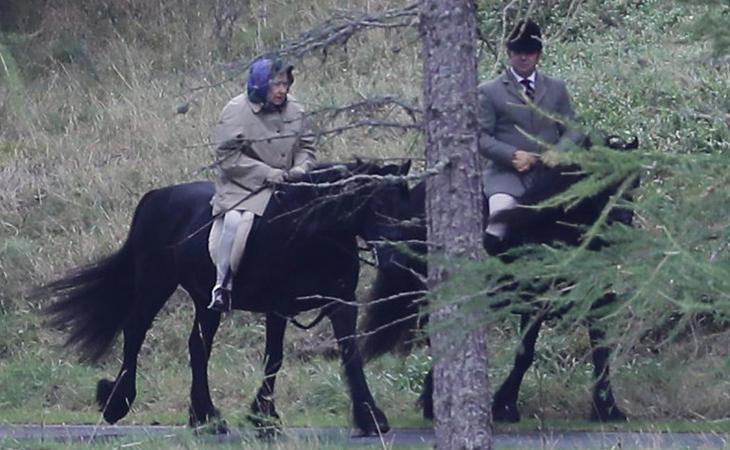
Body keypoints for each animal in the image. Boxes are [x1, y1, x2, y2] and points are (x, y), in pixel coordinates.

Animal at [39, 159, 412, 436]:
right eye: (375, 203)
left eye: (404, 202)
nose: (397, 257)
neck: (310, 231)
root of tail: (156, 196)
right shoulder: (278, 306)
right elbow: (275, 357)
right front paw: (264, 417)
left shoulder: (339, 304)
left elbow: (347, 355)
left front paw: (369, 417)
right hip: (155, 283)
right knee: (135, 331)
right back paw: (119, 403)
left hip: (206, 300)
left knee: (197, 346)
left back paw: (204, 417)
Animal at [362, 137, 636, 422]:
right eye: (601, 180)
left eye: (634, 181)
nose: (624, 219)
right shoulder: (533, 299)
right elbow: (525, 354)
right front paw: (504, 405)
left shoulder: (596, 296)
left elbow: (601, 349)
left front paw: (607, 408)